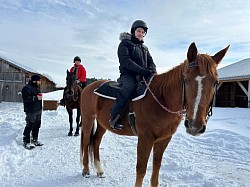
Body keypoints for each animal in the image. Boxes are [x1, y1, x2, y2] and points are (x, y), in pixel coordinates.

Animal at [79, 42, 229, 187]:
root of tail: (88, 87)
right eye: (186, 79)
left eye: (215, 82)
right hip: (88, 119)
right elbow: (141, 169)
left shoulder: (164, 139)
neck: (162, 98)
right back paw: (85, 170)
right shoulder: (145, 138)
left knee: (96, 141)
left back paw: (99, 170)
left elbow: (156, 166)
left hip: (102, 123)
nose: (194, 126)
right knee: (86, 141)